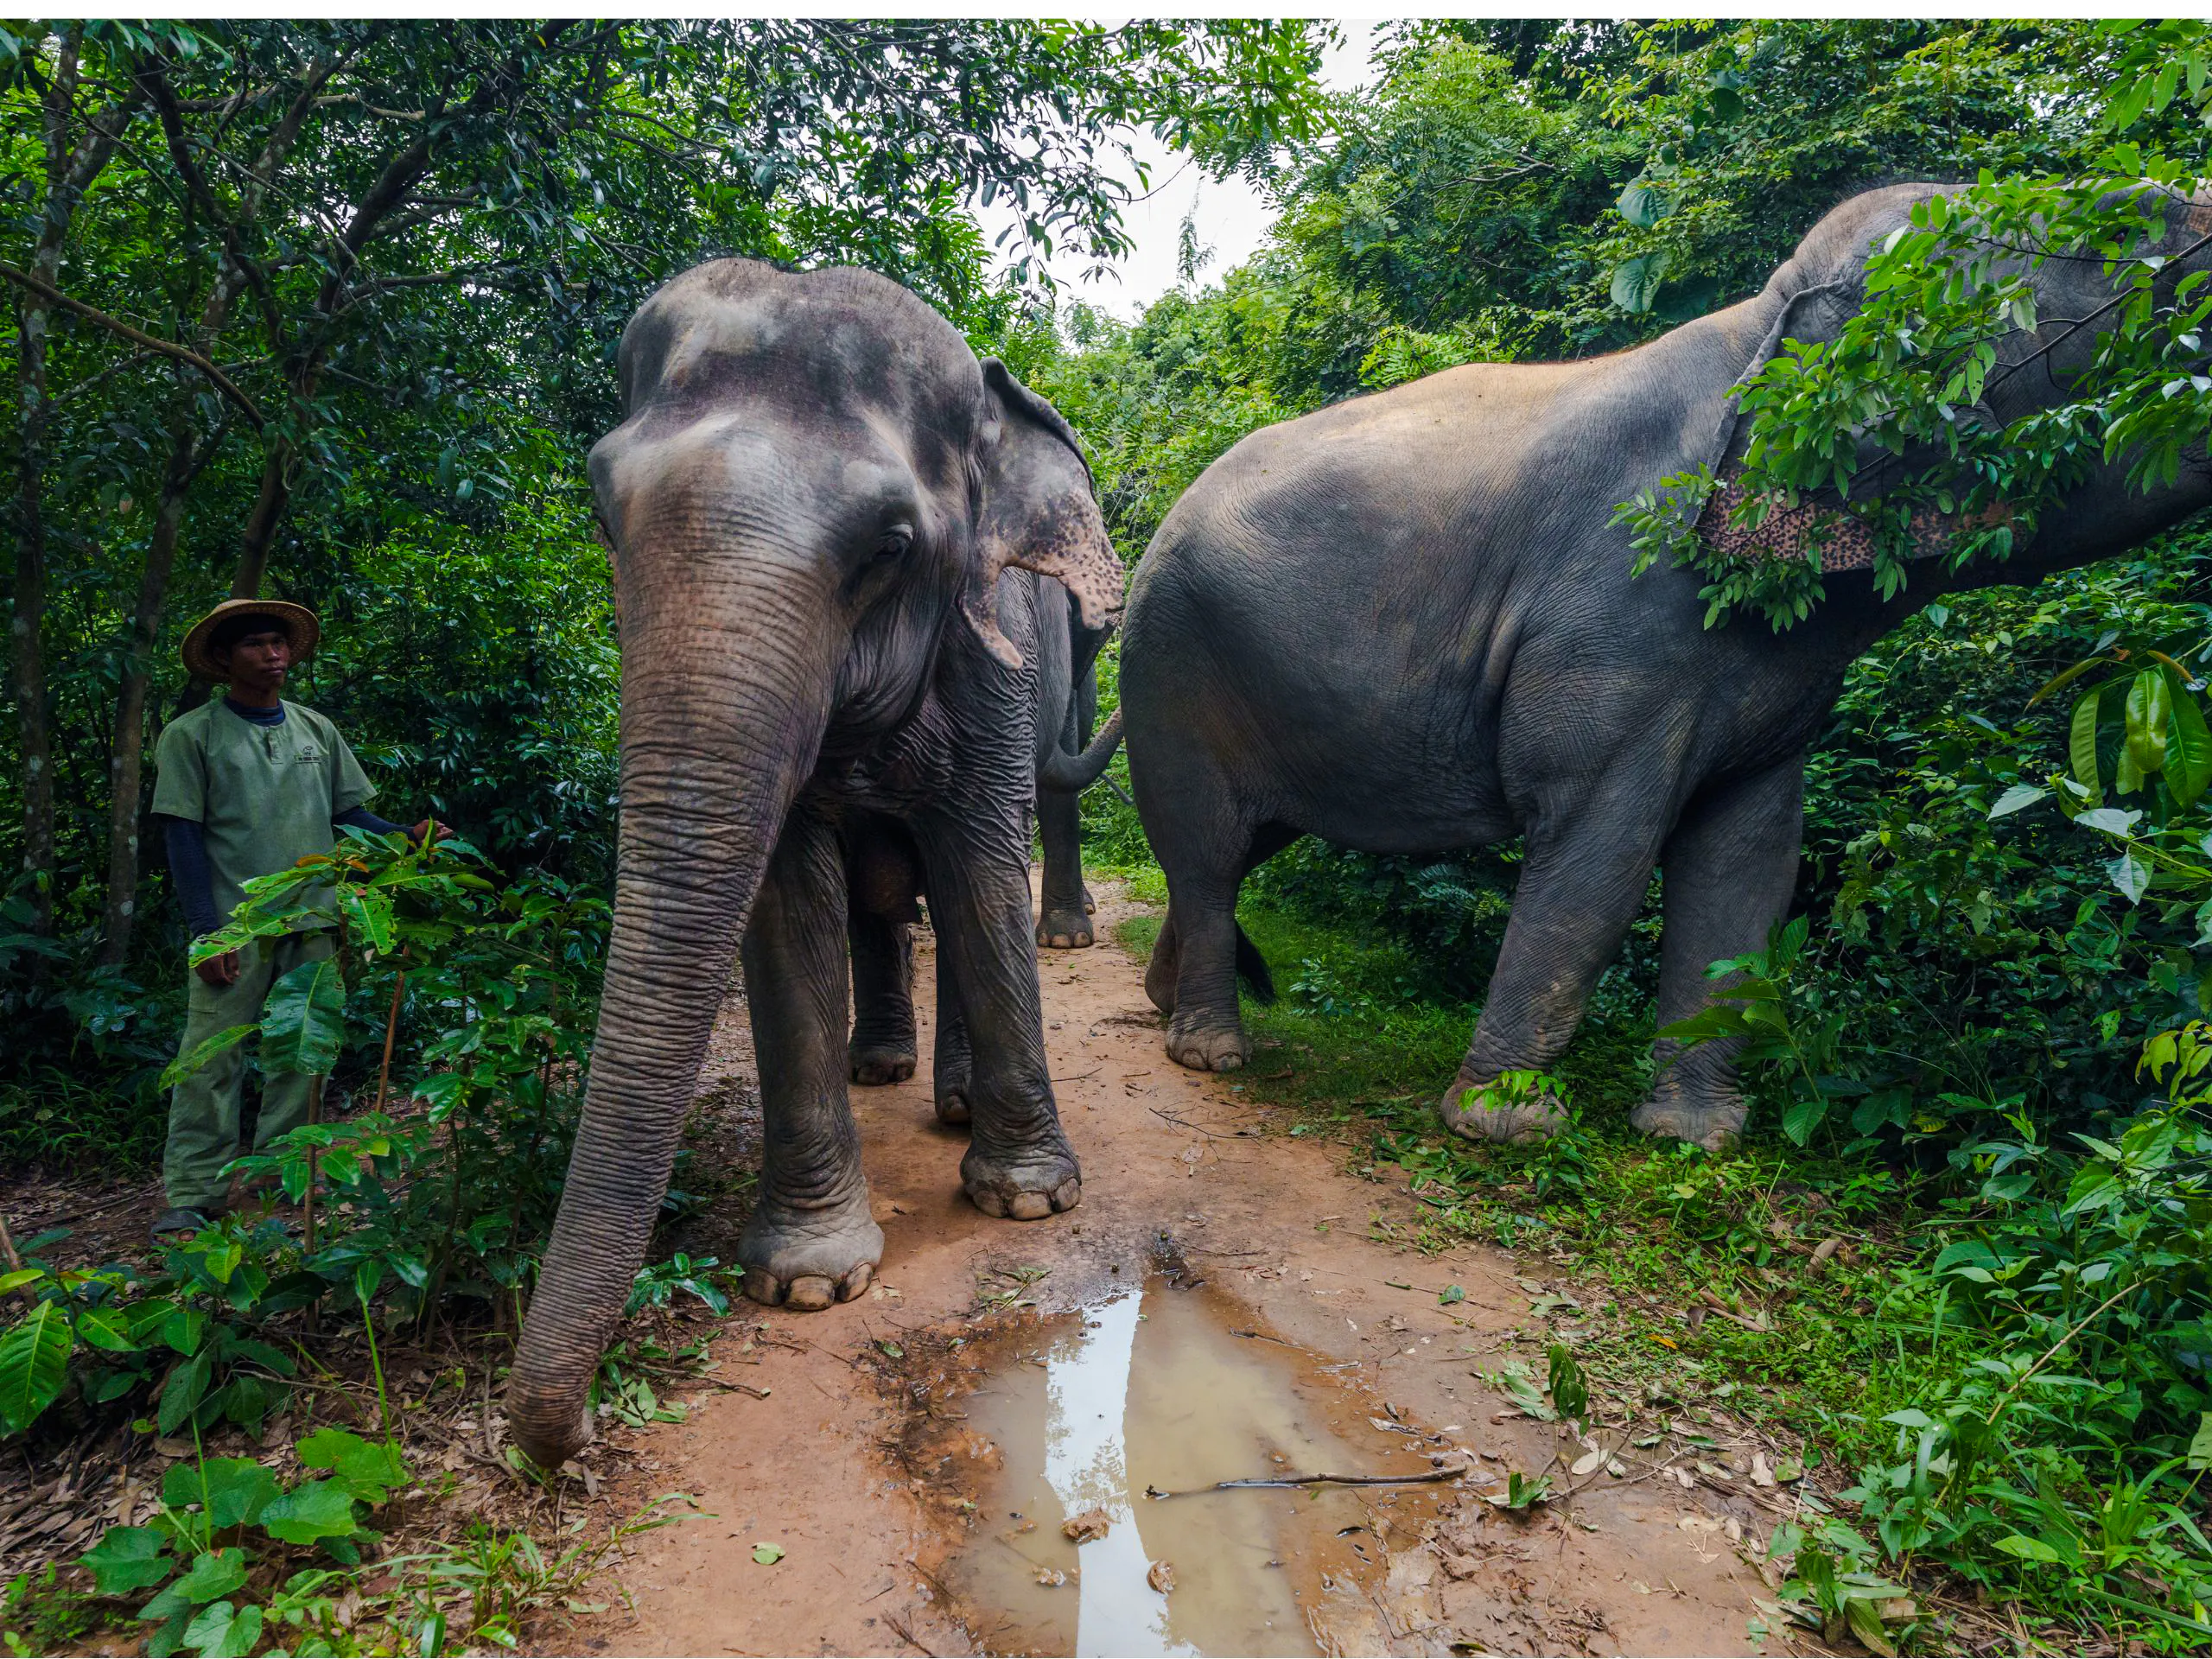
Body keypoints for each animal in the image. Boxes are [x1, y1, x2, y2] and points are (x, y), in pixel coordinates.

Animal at [506, 259, 1124, 1468]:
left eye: (889, 546)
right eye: (603, 514)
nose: (577, 1430)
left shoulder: (990, 657)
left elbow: (982, 867)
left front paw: (1030, 1204)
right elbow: (789, 904)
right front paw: (807, 1282)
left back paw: (953, 1103)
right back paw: (878, 1069)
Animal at [1117, 181, 2212, 1153]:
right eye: (2107, 234)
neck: (1760, 325)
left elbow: (1746, 863)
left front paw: (1695, 1139)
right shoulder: (1620, 607)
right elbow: (1601, 844)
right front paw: (1508, 1128)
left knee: (1247, 841)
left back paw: (1167, 1004)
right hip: (1171, 660)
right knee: (1207, 844)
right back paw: (1210, 1054)